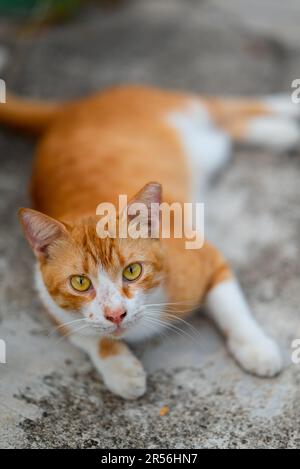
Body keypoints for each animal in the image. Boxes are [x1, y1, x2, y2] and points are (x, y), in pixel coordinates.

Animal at [1, 85, 298, 398]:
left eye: (133, 271)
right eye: (80, 282)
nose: (115, 314)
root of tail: (74, 106)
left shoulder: (208, 258)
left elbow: (232, 310)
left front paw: (256, 347)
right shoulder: (50, 301)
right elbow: (87, 335)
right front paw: (121, 369)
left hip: (181, 107)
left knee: (229, 105)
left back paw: (287, 115)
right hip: (208, 147)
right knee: (228, 128)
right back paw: (282, 132)